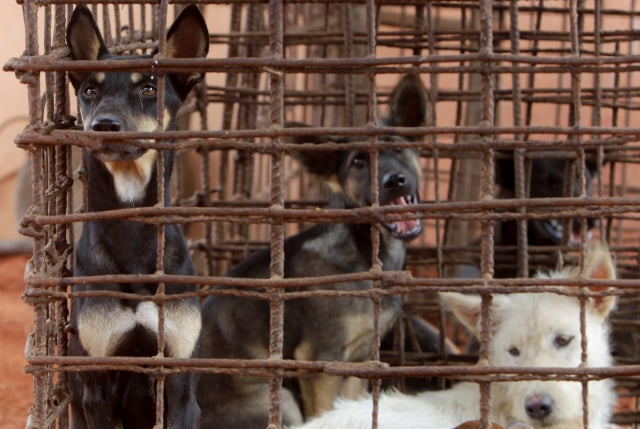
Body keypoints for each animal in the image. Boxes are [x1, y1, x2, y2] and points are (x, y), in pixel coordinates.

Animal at [66, 5, 209, 428]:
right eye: (90, 91)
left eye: (148, 89)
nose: (104, 126)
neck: (132, 222)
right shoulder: (96, 384)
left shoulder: (179, 380)